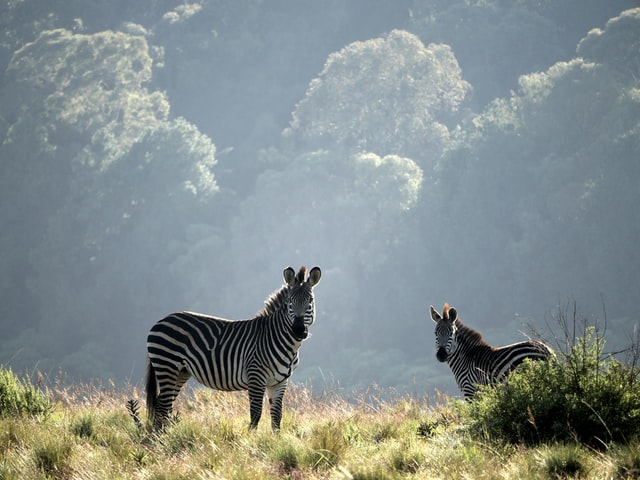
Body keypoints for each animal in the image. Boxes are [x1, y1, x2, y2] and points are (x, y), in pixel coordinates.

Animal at [148, 266, 322, 432]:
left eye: (310, 301)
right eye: (289, 302)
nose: (298, 330)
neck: (286, 344)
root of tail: (161, 320)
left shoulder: (280, 382)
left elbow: (277, 416)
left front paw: (276, 440)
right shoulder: (255, 376)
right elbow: (256, 414)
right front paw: (251, 439)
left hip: (181, 371)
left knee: (163, 404)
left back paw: (160, 437)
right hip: (167, 366)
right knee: (163, 405)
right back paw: (160, 439)